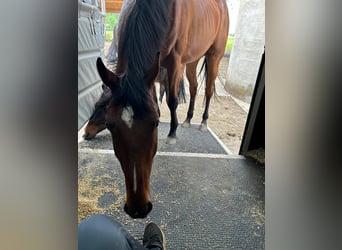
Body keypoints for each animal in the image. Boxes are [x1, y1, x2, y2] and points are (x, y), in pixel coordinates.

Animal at [95, 0, 228, 218]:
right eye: (109, 125)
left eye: (156, 123)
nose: (138, 208)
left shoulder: (174, 63)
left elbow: (172, 101)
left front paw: (172, 134)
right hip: (192, 60)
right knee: (194, 87)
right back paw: (188, 119)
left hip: (213, 55)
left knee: (207, 90)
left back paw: (203, 122)